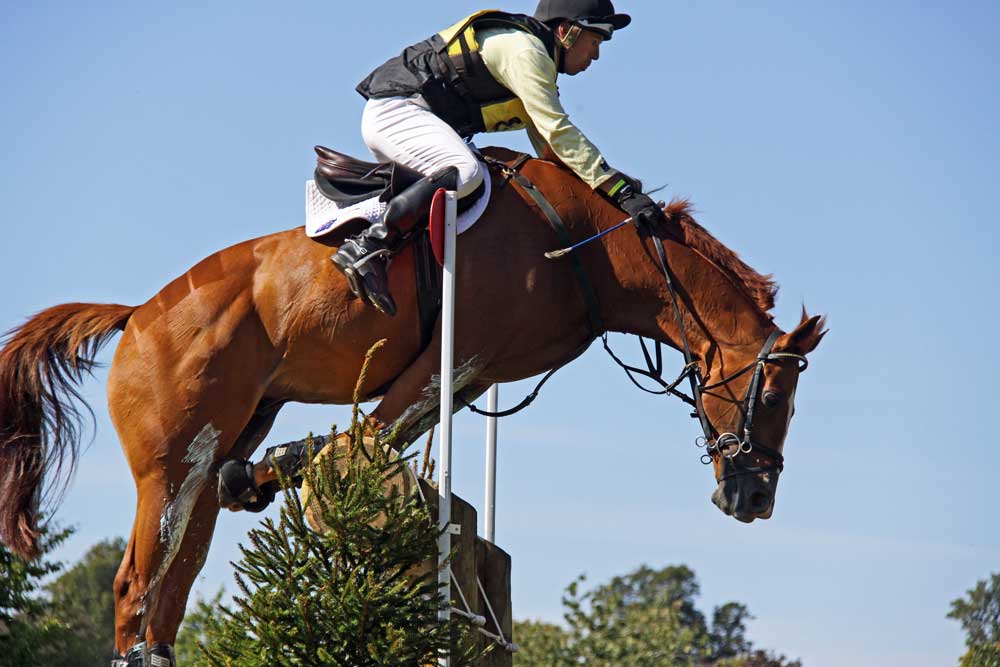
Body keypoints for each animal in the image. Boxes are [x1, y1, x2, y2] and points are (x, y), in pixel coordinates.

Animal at [0, 144, 824, 660]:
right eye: (774, 391)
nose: (755, 498)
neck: (585, 245)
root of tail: (137, 313)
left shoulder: (468, 375)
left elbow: (358, 446)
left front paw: (274, 471)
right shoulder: (448, 357)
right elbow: (361, 442)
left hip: (204, 461)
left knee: (172, 585)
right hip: (169, 467)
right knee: (136, 588)